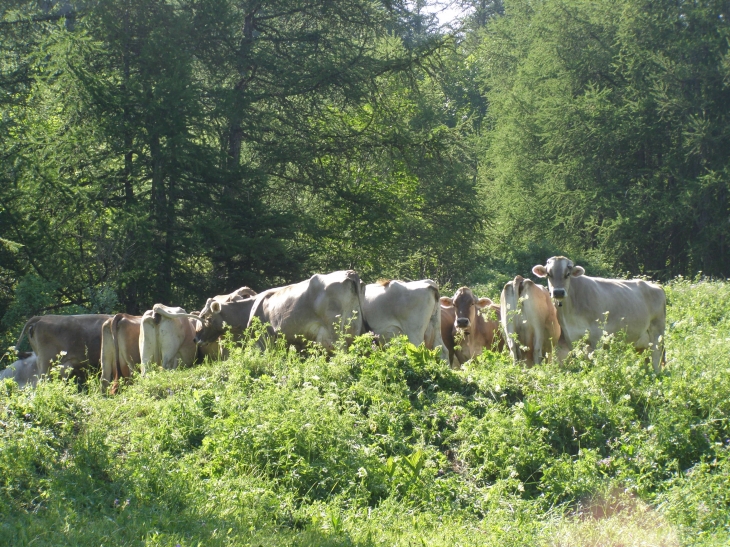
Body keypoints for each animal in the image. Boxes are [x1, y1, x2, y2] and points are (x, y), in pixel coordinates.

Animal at [528, 256, 664, 372]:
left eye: (567, 274)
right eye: (549, 274)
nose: (558, 292)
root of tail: (656, 285)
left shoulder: (597, 336)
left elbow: (595, 362)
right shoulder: (571, 337)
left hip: (657, 332)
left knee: (657, 357)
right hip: (642, 340)